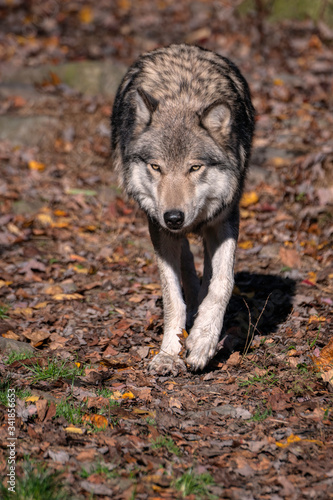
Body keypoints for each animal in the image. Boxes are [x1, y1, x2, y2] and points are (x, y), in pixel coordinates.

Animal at [111, 44, 254, 376]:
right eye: (156, 167)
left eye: (194, 168)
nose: (174, 217)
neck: (182, 97)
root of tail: (182, 47)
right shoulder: (157, 226)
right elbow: (172, 297)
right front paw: (168, 353)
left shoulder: (225, 219)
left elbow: (222, 283)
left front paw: (202, 341)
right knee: (187, 263)